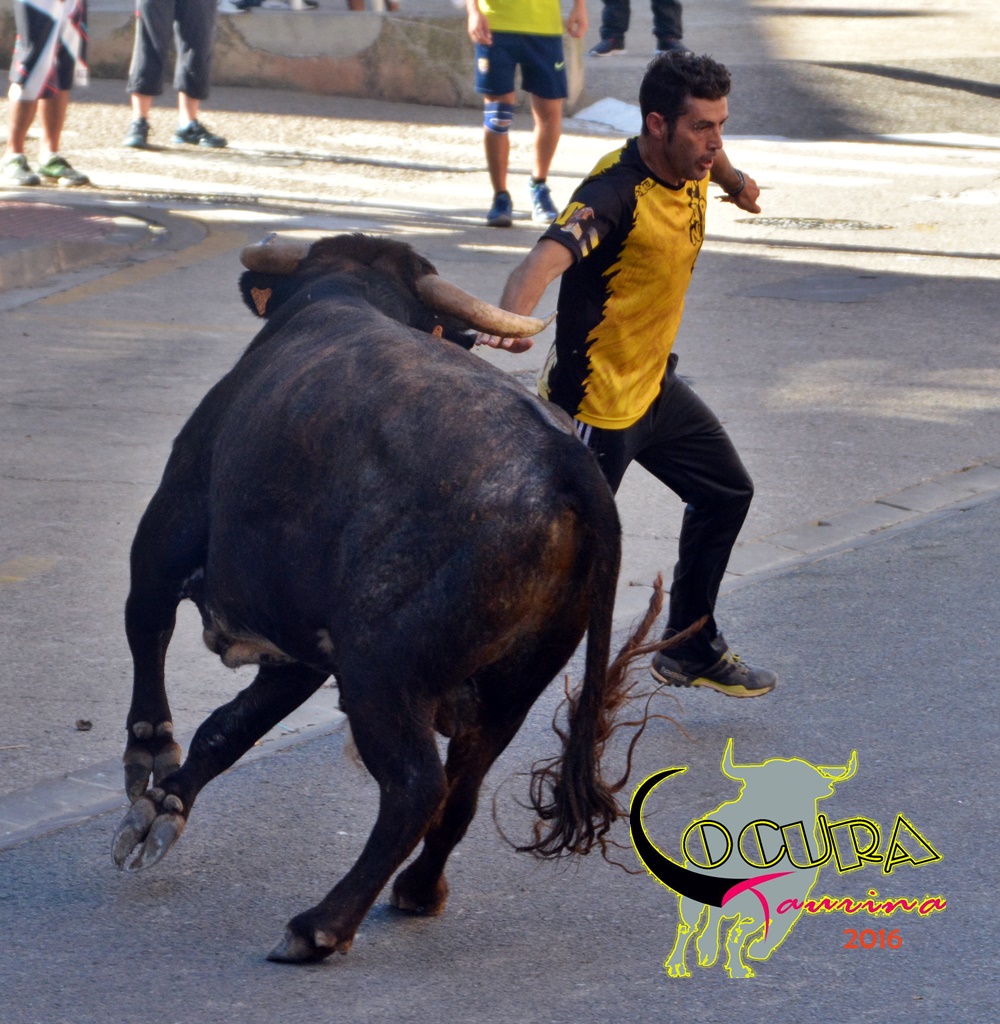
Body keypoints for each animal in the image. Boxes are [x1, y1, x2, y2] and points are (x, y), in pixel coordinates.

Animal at [111, 232, 661, 963]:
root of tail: (570, 463)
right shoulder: (304, 649)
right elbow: (227, 728)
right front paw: (161, 810)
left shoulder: (167, 533)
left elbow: (147, 631)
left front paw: (148, 758)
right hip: (511, 686)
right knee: (462, 787)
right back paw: (418, 891)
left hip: (383, 672)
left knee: (416, 787)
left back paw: (319, 925)